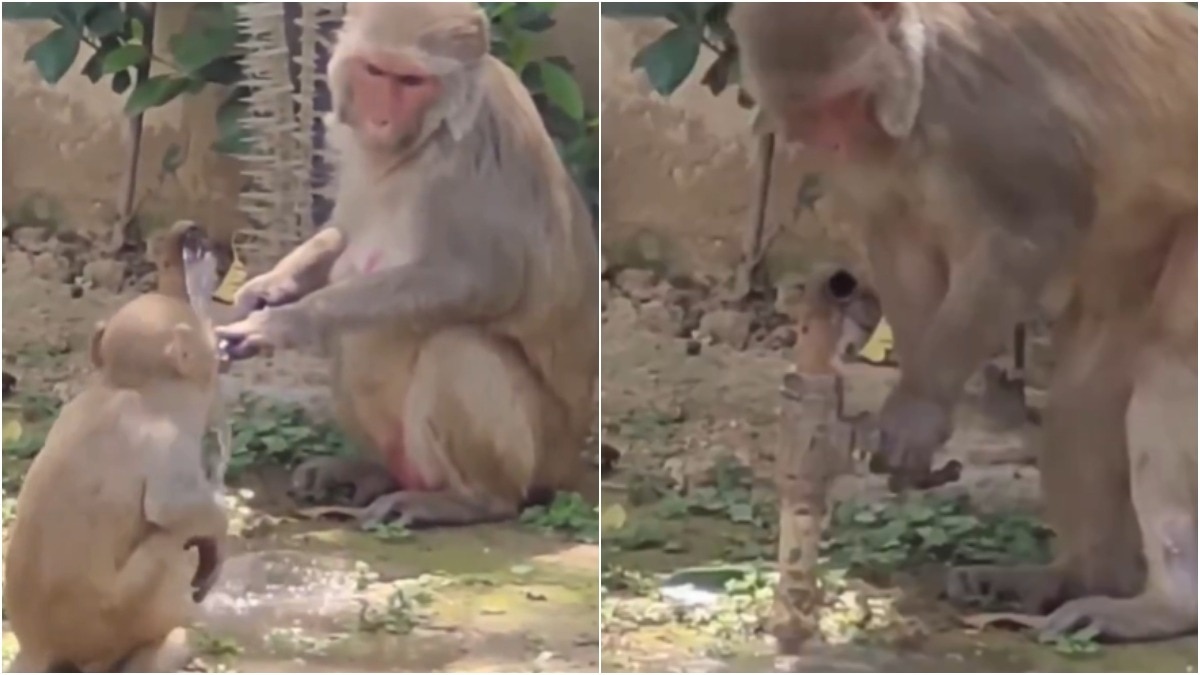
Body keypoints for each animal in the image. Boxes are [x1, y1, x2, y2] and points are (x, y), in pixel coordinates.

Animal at [4, 222, 229, 672]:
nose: (190, 237)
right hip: (117, 618)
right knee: (171, 541)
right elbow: (172, 507)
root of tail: (39, 645)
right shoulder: (166, 434)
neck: (127, 386)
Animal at [214, 3, 599, 529]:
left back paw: (472, 501)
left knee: (456, 348)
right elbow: (343, 232)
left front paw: (287, 321)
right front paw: (268, 288)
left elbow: (482, 281)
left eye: (412, 81)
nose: (380, 119)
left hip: (543, 453)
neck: (424, 139)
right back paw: (370, 472)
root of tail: (575, 459)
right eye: (376, 71)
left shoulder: (473, 155)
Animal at [730, 3, 1197, 642]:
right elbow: (897, 239)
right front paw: (923, 411)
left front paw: (919, 409)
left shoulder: (978, 111)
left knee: (1170, 362)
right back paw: (1080, 578)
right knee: (1084, 395)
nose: (827, 141)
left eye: (842, 104)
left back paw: (1168, 606)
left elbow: (1031, 234)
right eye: (806, 114)